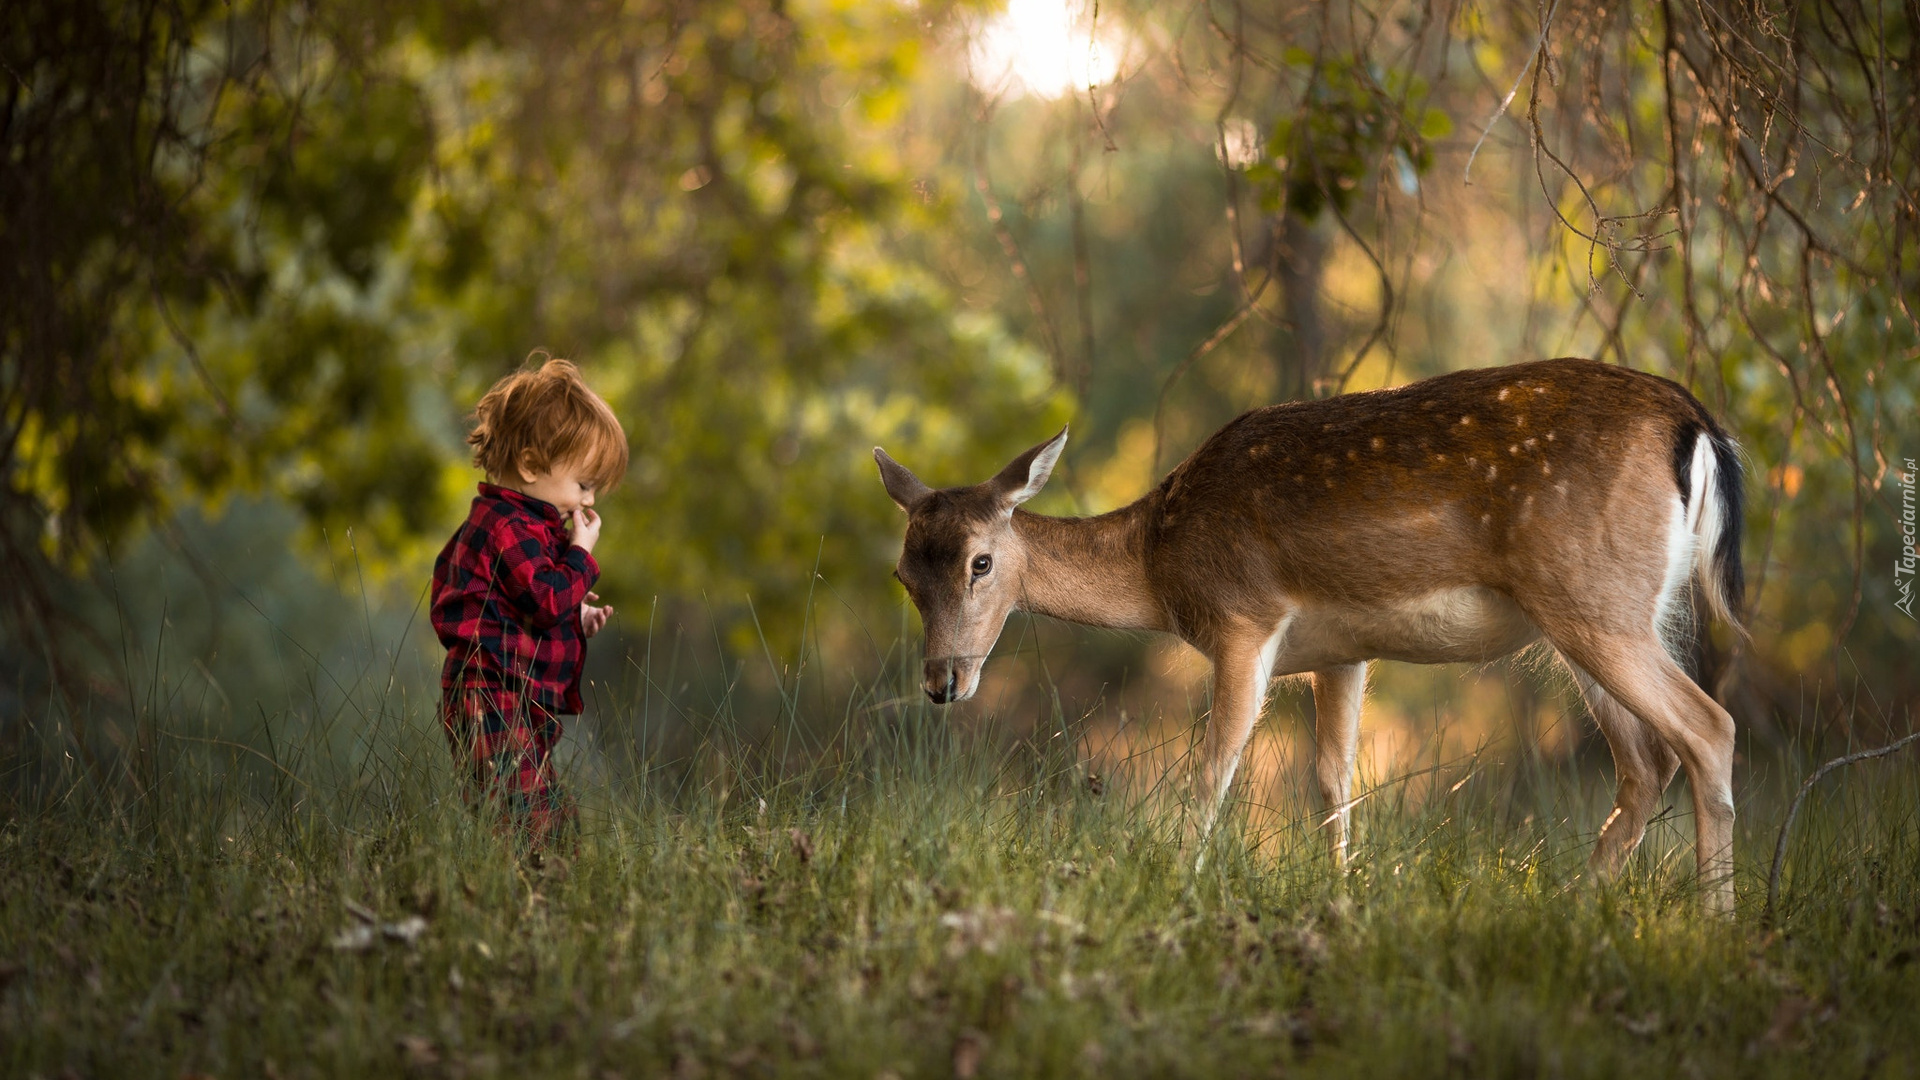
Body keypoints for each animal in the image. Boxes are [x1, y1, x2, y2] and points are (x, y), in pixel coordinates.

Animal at [879, 359, 1751, 907]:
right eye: (903, 575)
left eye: (981, 562)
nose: (942, 682)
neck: (1161, 561)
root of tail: (1698, 427)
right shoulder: (1344, 650)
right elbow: (1335, 780)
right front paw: (1344, 897)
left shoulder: (1244, 616)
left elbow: (1215, 771)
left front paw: (1179, 887)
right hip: (1602, 613)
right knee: (1646, 763)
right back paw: (1574, 906)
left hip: (1593, 598)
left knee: (1709, 727)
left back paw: (1715, 929)